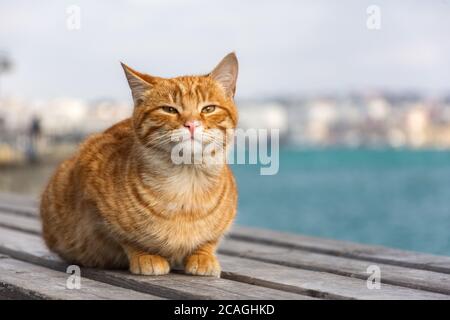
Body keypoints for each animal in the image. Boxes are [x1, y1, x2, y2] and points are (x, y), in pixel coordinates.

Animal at [40, 53, 239, 278]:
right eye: (169, 109)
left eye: (208, 108)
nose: (191, 124)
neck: (187, 182)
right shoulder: (91, 192)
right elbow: (126, 238)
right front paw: (146, 255)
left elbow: (209, 240)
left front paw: (203, 255)